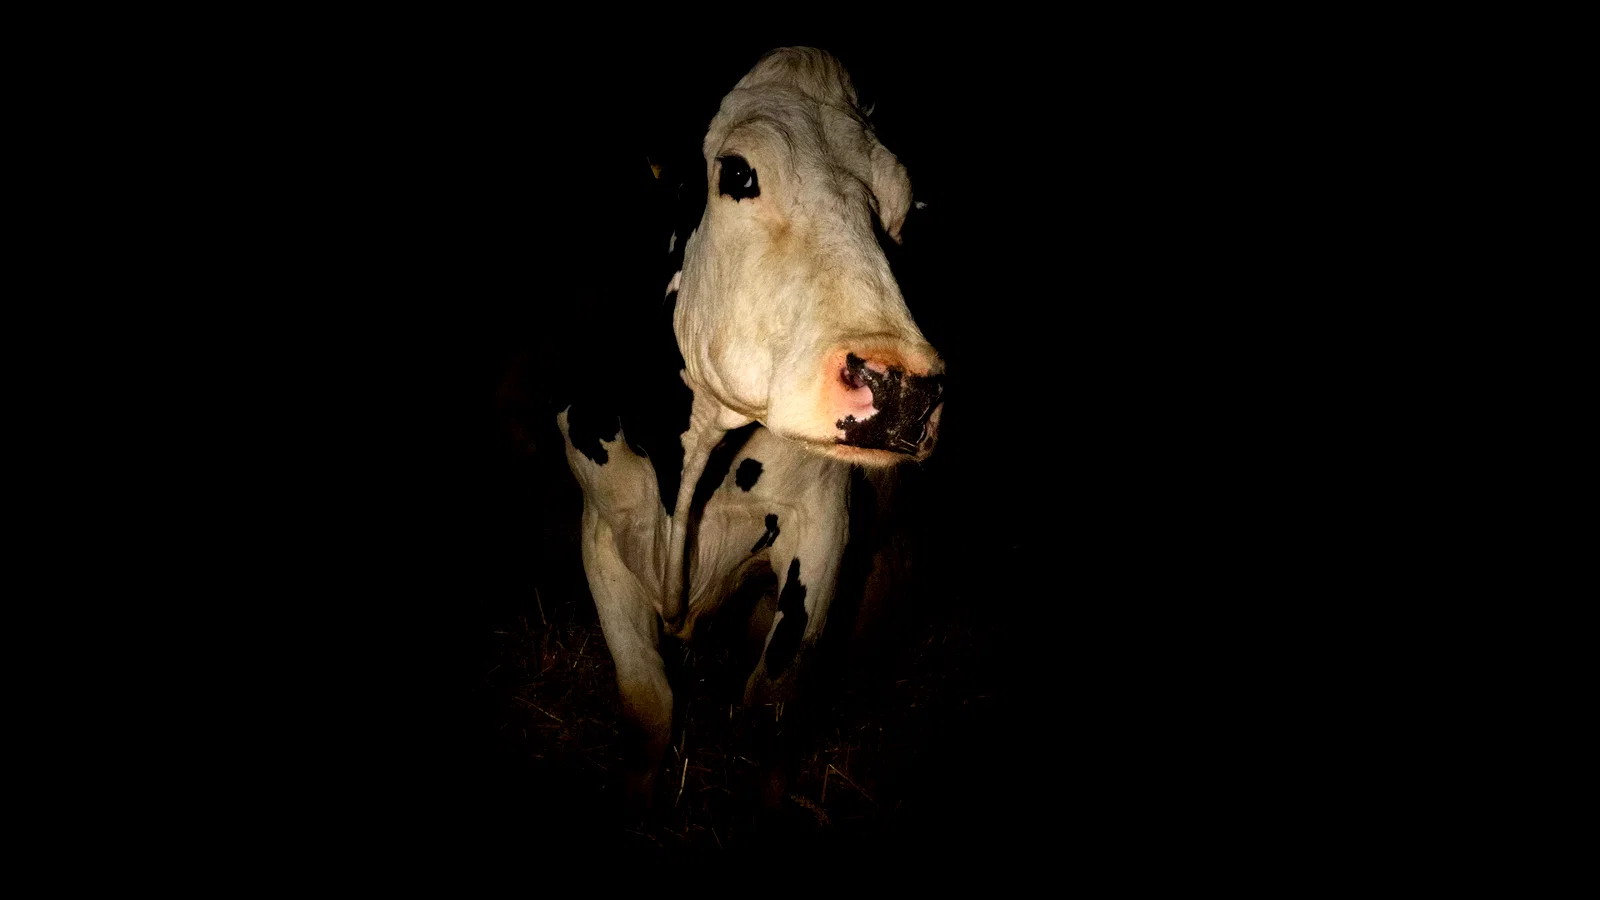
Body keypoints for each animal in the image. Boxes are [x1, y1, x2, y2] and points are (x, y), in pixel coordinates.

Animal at [555, 47, 945, 812]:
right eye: (738, 173)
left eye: (901, 209)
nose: (905, 390)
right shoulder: (600, 528)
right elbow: (647, 704)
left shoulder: (820, 527)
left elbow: (770, 705)